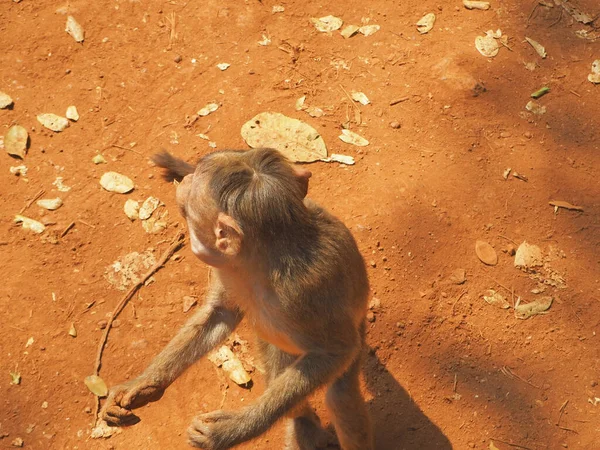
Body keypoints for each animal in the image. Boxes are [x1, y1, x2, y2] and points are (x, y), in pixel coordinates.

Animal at [103, 149, 376, 450]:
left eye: (197, 179)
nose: (186, 179)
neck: (262, 264)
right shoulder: (227, 269)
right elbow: (220, 313)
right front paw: (142, 383)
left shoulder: (304, 293)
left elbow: (336, 351)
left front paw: (230, 430)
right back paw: (304, 425)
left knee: (340, 396)